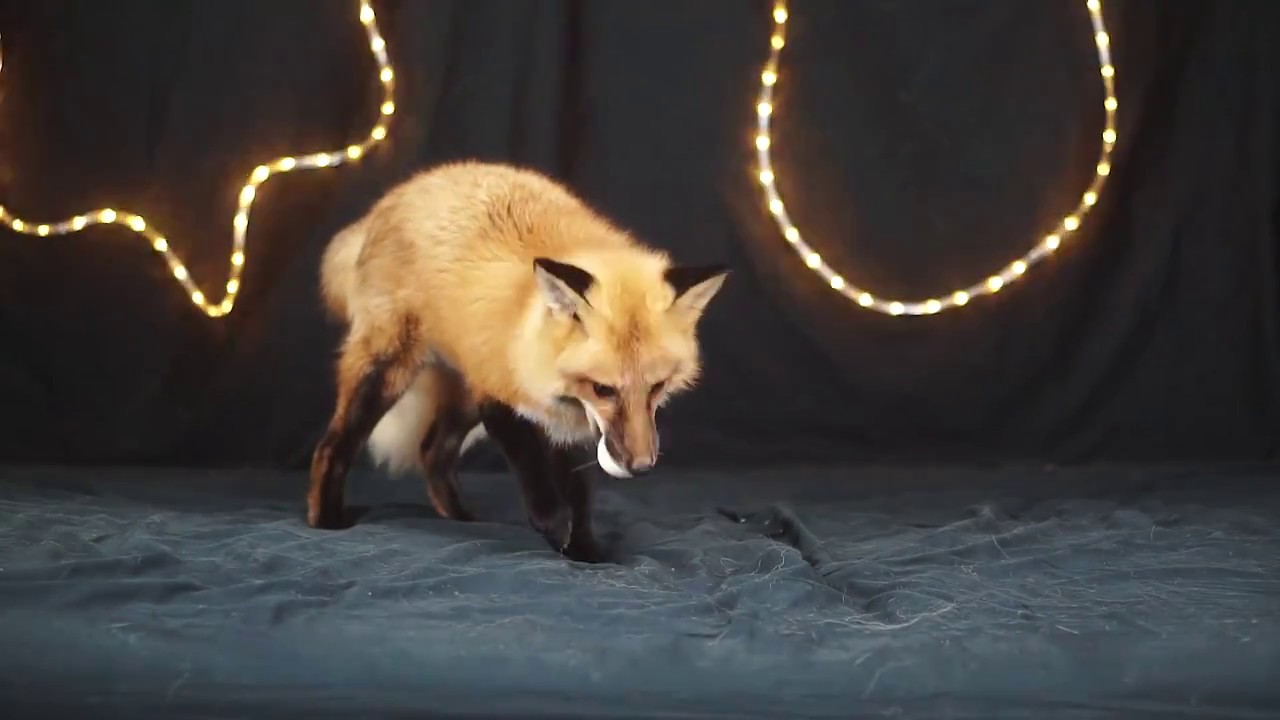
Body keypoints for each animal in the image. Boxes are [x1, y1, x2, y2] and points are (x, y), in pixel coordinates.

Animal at [307, 162, 732, 561]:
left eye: (657, 387)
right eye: (603, 389)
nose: (642, 466)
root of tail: (391, 200)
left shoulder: (572, 426)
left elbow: (580, 496)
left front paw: (584, 551)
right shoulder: (497, 392)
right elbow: (533, 469)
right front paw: (554, 525)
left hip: (463, 390)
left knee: (432, 451)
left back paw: (460, 516)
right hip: (389, 371)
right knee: (332, 447)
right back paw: (325, 520)